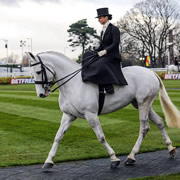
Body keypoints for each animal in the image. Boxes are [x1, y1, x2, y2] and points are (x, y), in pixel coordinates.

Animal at [26, 51, 180, 169]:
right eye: (32, 72)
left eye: (38, 71)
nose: (41, 94)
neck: (73, 84)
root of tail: (151, 73)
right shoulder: (68, 115)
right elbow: (58, 136)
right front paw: (49, 160)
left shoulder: (91, 115)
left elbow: (101, 137)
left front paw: (114, 158)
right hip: (140, 104)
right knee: (159, 122)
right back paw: (170, 148)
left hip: (143, 103)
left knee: (144, 127)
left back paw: (131, 156)